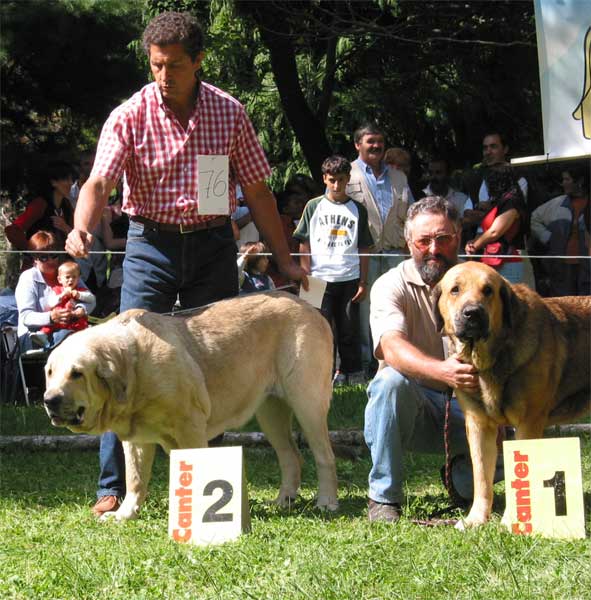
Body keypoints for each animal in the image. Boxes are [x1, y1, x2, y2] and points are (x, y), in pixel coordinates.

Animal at [42, 294, 338, 520]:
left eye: (77, 374)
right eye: (49, 372)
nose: (49, 400)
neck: (134, 368)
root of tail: (310, 308)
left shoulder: (190, 428)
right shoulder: (136, 440)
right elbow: (135, 478)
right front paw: (125, 514)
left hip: (307, 403)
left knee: (324, 456)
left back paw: (327, 501)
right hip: (270, 412)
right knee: (291, 456)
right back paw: (283, 501)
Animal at [432, 262, 588, 528]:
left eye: (488, 290)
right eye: (455, 290)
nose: (472, 313)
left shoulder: (528, 423)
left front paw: (513, 520)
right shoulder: (478, 425)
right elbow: (481, 477)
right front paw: (475, 519)